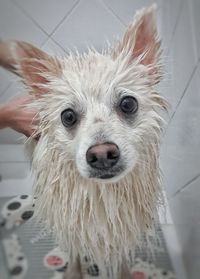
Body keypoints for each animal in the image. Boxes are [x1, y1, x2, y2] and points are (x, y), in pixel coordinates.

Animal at [0, 3, 167, 278]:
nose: (102, 154)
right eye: (68, 116)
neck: (102, 193)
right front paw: (73, 272)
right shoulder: (73, 224)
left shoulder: (124, 229)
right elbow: (76, 253)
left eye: (128, 104)